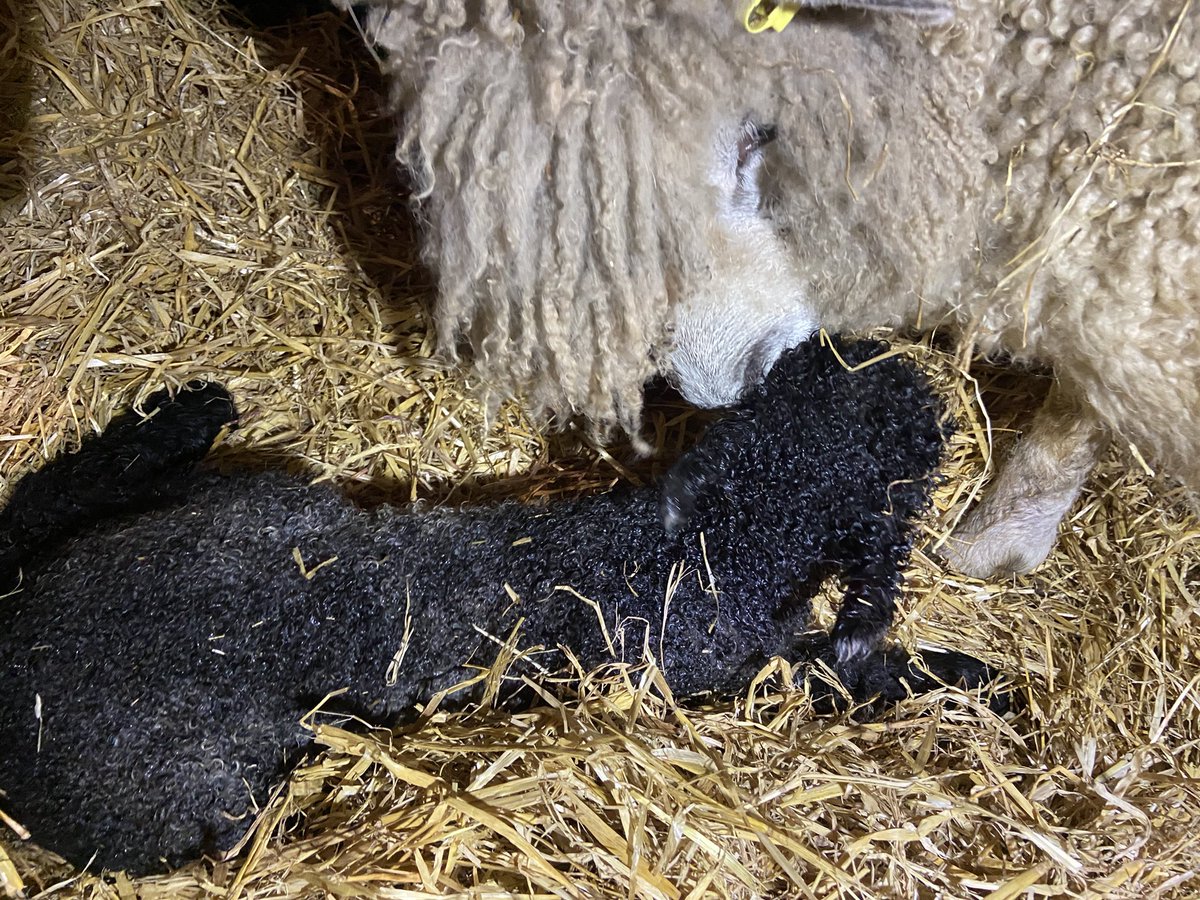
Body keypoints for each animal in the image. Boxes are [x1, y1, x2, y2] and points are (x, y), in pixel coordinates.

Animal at [0, 336, 1003, 875]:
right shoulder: (738, 672)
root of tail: (14, 639)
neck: (716, 537)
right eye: (911, 434)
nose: (933, 390)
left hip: (235, 499)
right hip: (204, 783)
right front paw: (980, 679)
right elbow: (860, 677)